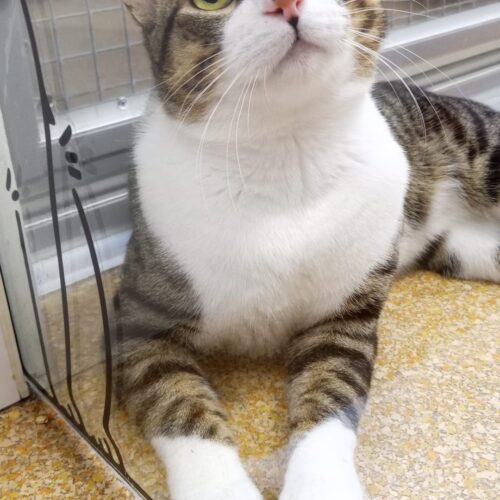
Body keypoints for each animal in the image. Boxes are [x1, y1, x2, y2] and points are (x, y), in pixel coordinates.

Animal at [116, 0, 500, 498]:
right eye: (210, 4)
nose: (286, 4)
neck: (287, 150)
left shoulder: (343, 317)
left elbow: (329, 395)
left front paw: (320, 483)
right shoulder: (140, 326)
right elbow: (180, 406)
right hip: (459, 246)